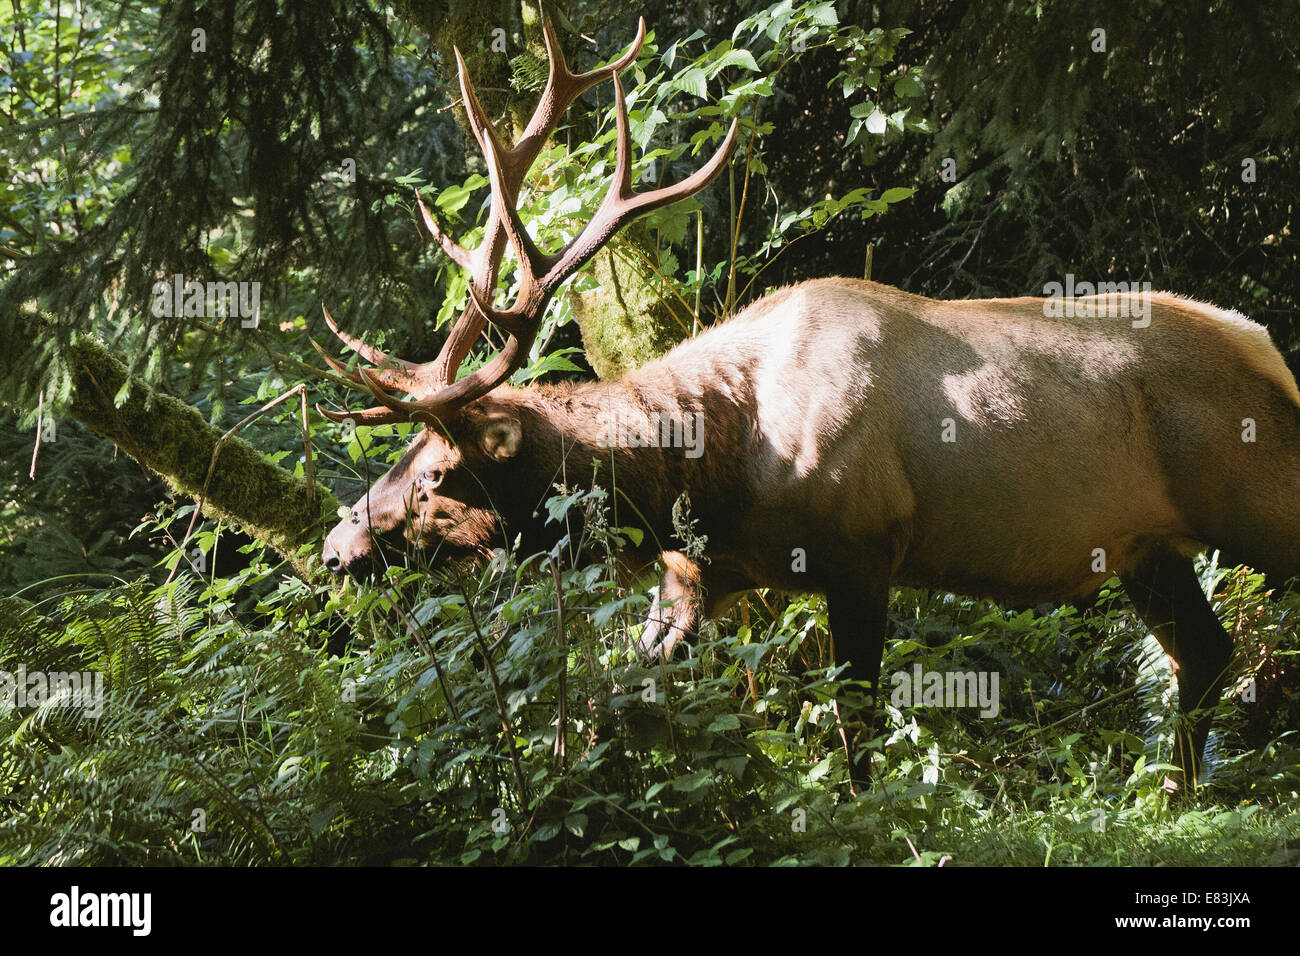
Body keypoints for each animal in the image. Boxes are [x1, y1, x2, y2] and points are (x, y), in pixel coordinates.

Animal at [317, 18, 1300, 790]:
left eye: (436, 475)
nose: (335, 546)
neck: (708, 470)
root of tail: (1273, 359)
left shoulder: (864, 547)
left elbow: (855, 726)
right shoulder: (699, 576)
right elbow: (607, 707)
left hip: (1259, 502)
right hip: (1150, 549)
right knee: (1205, 655)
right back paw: (1174, 795)